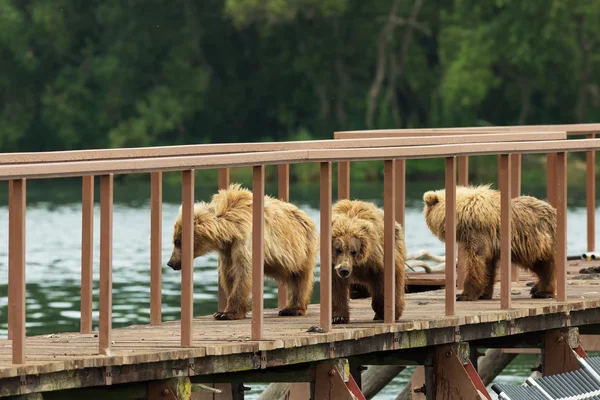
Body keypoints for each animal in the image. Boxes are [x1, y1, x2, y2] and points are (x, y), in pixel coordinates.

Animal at [166, 184, 318, 318]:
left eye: (177, 242)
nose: (170, 263)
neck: (232, 228)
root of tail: (306, 215)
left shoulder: (246, 241)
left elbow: (243, 272)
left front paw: (227, 314)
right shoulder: (227, 250)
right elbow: (229, 274)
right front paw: (223, 311)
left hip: (301, 250)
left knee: (300, 278)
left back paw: (293, 309)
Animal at [422, 184, 556, 300]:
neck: (462, 215)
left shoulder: (478, 232)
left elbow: (476, 260)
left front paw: (464, 295)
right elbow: (487, 265)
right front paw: (484, 294)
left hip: (540, 240)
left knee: (548, 266)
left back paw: (544, 292)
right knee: (540, 265)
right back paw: (537, 289)